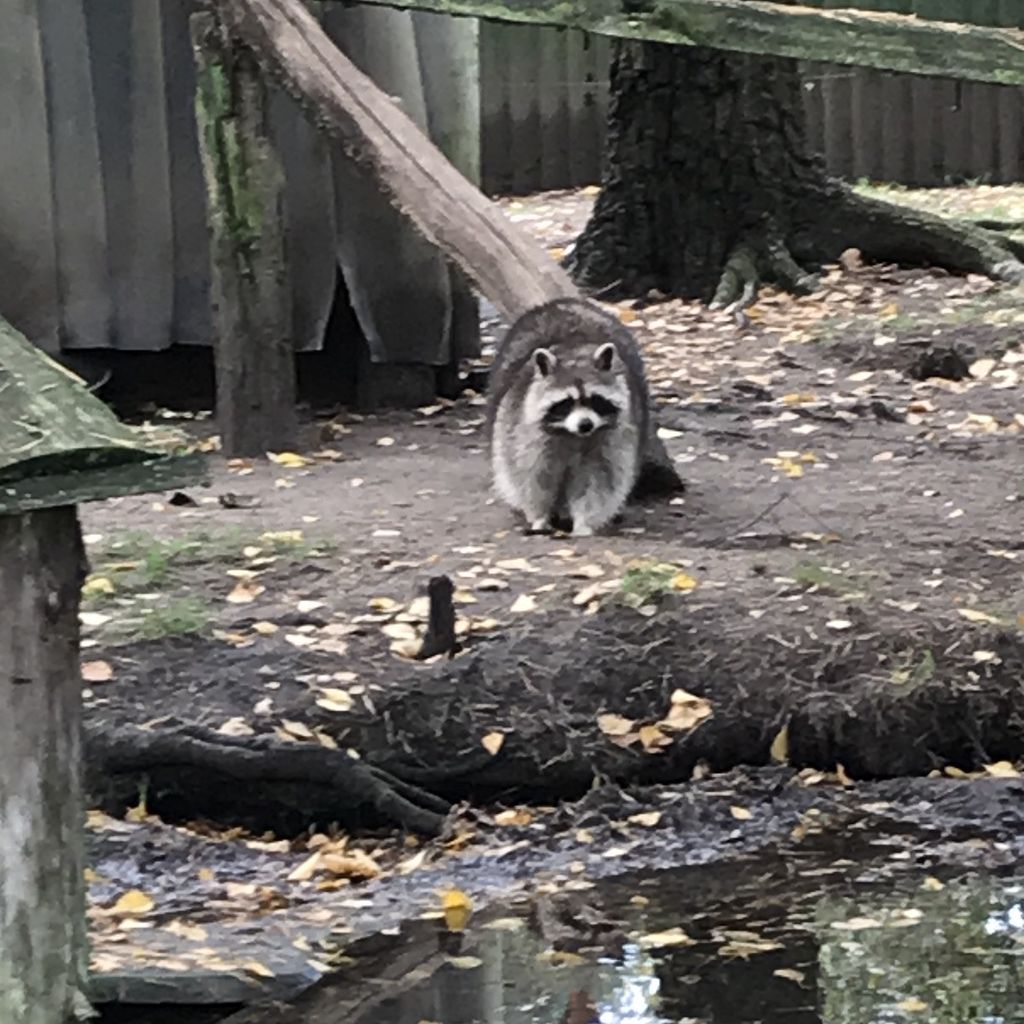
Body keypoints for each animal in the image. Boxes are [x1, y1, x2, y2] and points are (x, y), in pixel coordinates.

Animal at [485, 296, 647, 536]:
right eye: (566, 403)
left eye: (594, 400)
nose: (585, 424)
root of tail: (564, 301)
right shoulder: (523, 429)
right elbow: (532, 477)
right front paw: (540, 516)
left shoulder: (611, 438)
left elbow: (597, 481)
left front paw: (584, 522)